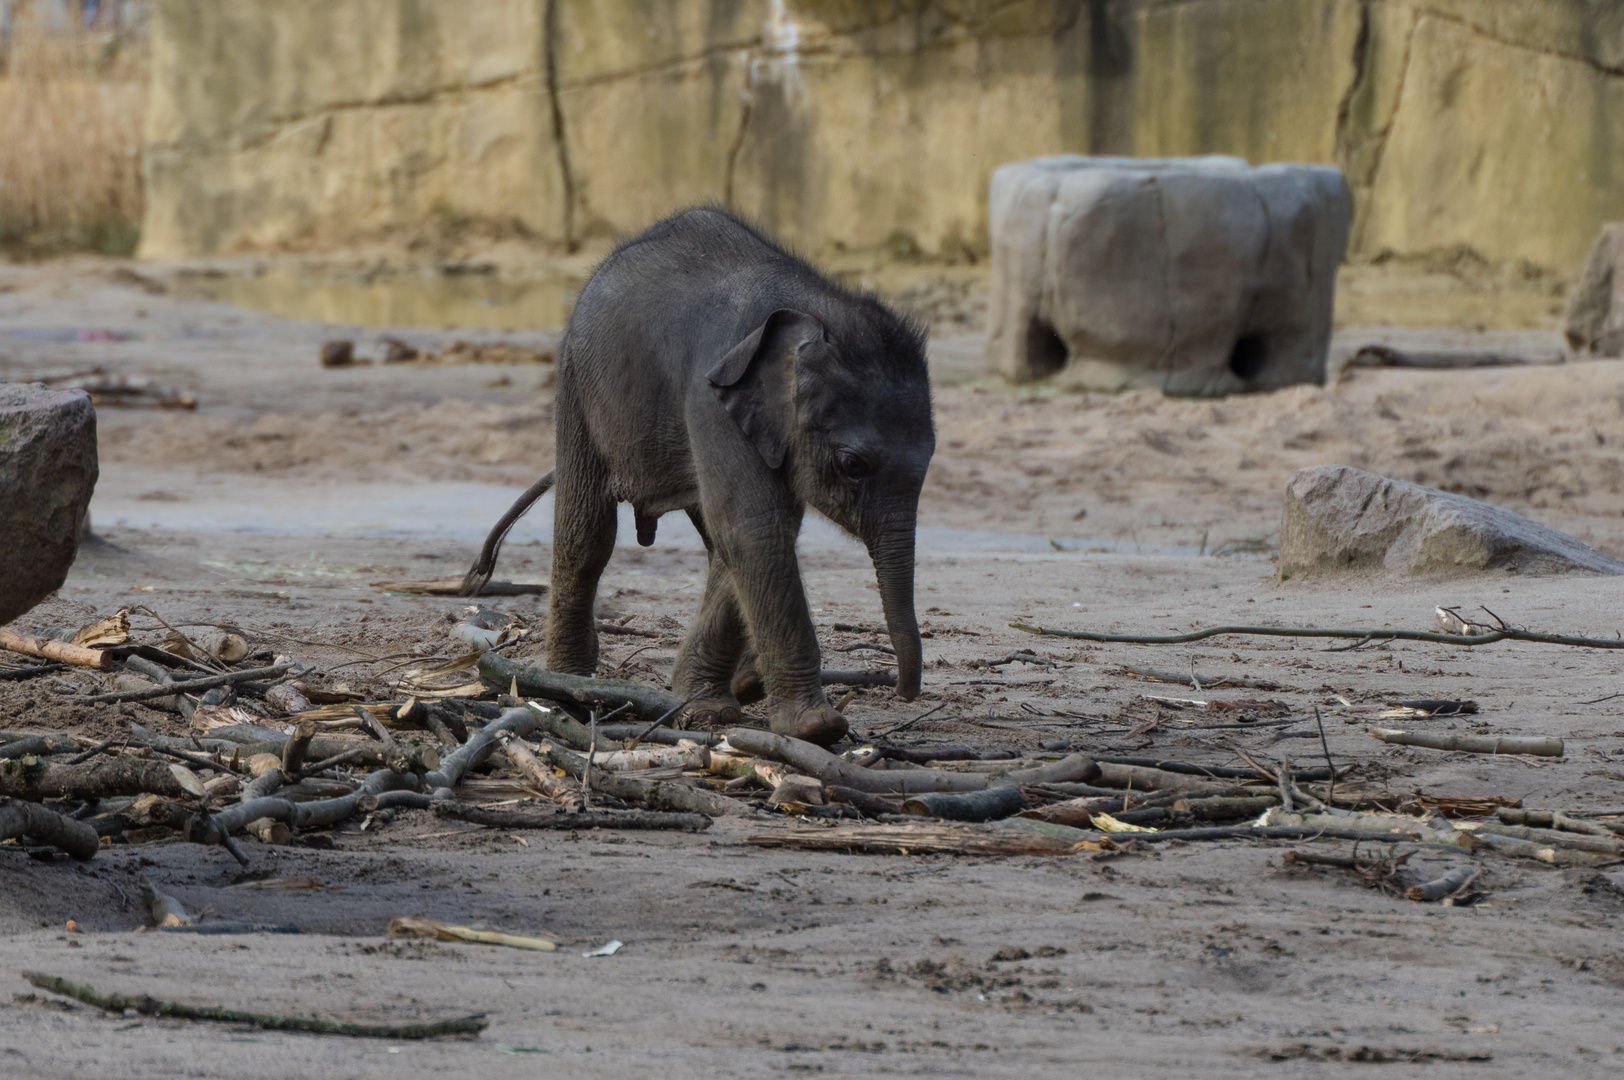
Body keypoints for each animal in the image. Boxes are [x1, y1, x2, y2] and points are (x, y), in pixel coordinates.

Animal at [513, 209, 941, 747]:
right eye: (853, 465)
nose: (905, 692)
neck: (814, 310)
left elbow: (750, 534)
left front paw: (708, 707)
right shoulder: (711, 398)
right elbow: (754, 527)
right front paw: (816, 728)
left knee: (710, 538)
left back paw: (744, 683)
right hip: (577, 386)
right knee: (587, 531)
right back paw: (565, 686)